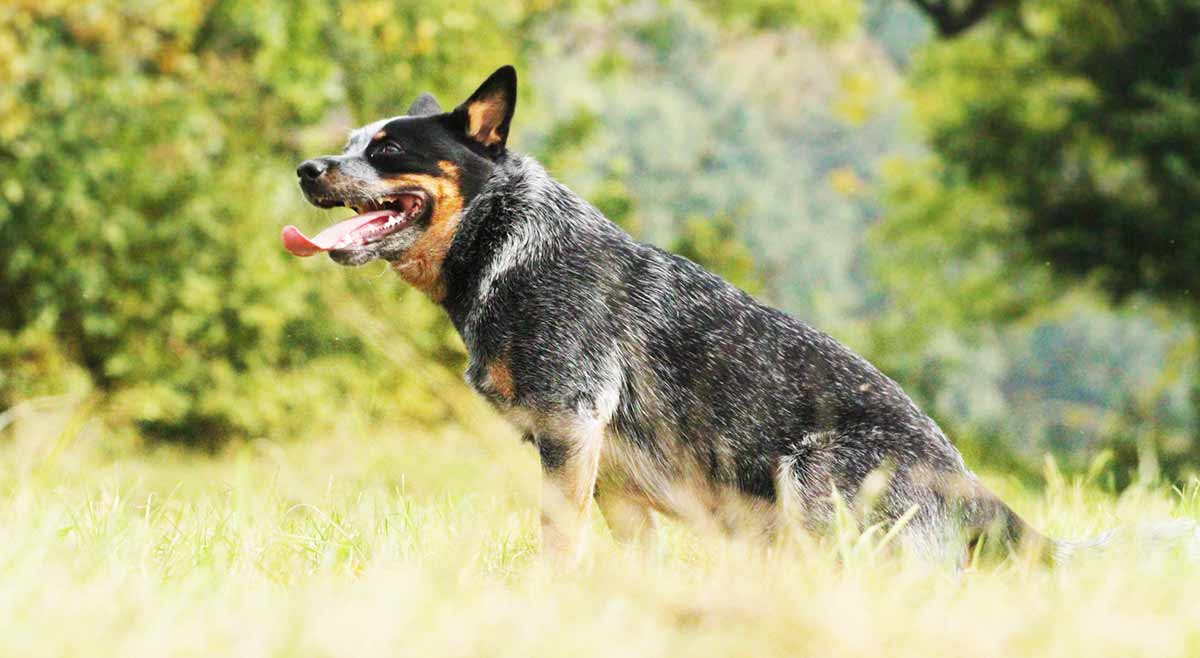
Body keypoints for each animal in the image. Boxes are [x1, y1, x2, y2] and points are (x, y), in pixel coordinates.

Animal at [280, 68, 1060, 571]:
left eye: (387, 150)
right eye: (349, 142)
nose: (308, 169)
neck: (507, 245)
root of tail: (978, 494)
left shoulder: (569, 425)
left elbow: (557, 536)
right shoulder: (610, 471)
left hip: (811, 477)